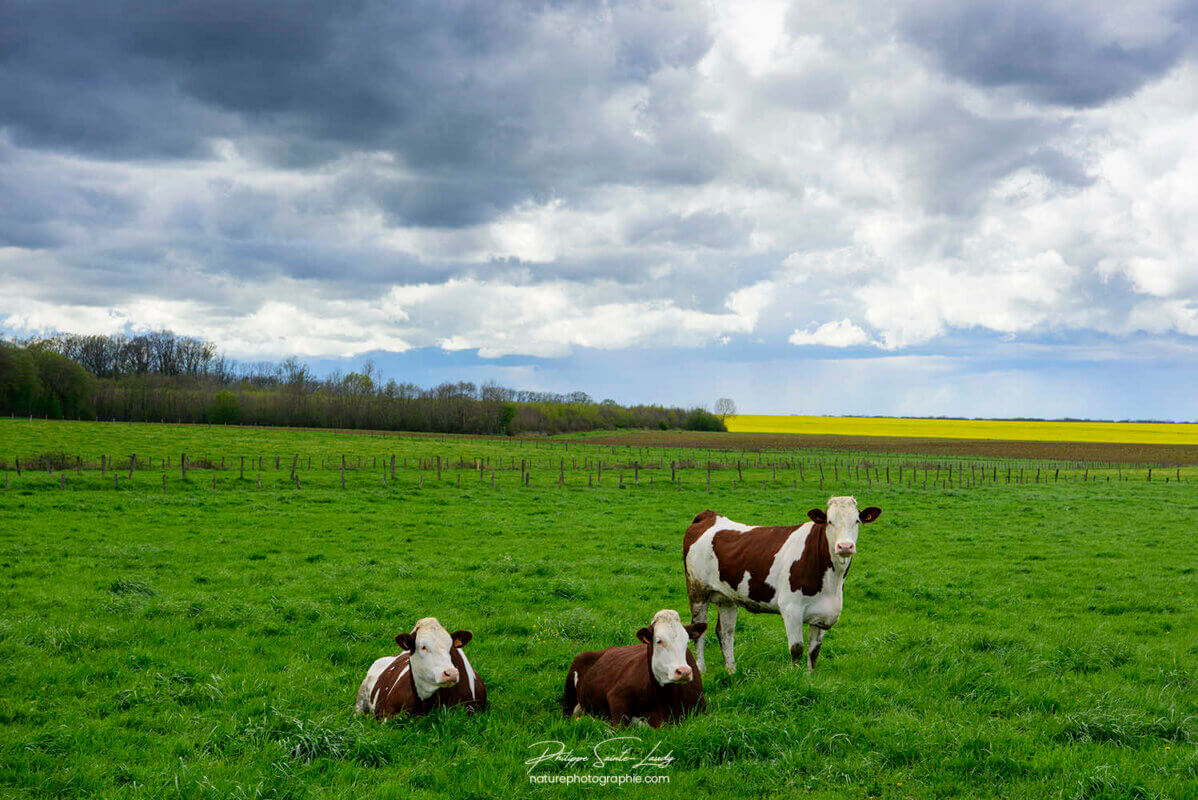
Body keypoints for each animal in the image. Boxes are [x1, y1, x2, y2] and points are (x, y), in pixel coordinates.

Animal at [354, 617, 486, 723]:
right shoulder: (386, 714)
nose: (451, 673)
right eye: (423, 647)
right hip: (361, 699)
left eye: (451, 647)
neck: (425, 703)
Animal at [685, 495, 881, 670]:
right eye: (829, 521)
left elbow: (813, 653)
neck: (832, 583)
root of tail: (709, 516)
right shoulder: (791, 609)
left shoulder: (823, 615)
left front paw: (808, 679)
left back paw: (731, 671)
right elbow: (797, 649)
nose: (845, 546)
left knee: (725, 632)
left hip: (728, 597)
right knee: (699, 632)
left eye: (857, 521)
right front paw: (795, 679)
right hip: (697, 591)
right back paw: (702, 670)